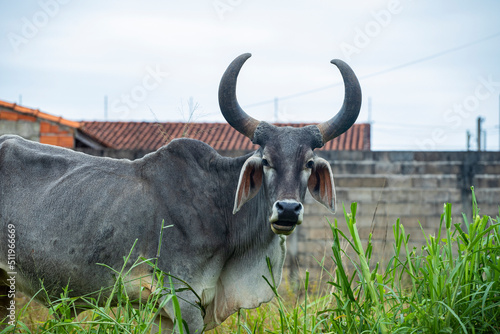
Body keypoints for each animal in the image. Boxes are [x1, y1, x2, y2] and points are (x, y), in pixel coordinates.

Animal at [0, 53, 360, 332]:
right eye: (266, 161)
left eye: (309, 163)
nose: (287, 209)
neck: (220, 208)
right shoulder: (183, 301)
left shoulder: (166, 312)